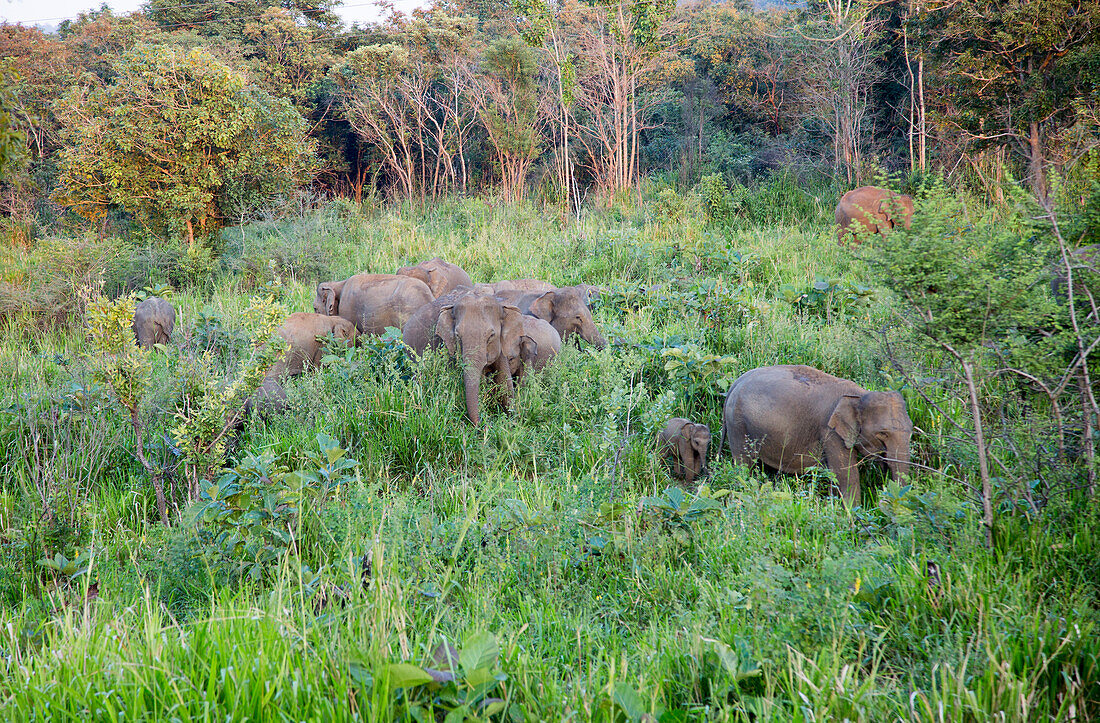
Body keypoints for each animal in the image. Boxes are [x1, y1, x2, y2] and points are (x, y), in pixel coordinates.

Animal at [402, 286, 525, 424]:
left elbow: (505, 382)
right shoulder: (445, 347)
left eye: (491, 335)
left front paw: (512, 419)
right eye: (457, 335)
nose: (483, 422)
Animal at [717, 363, 915, 504]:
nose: (883, 498)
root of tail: (736, 382)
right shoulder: (830, 432)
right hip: (738, 425)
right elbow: (845, 475)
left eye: (911, 430)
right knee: (744, 465)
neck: (860, 394)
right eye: (883, 433)